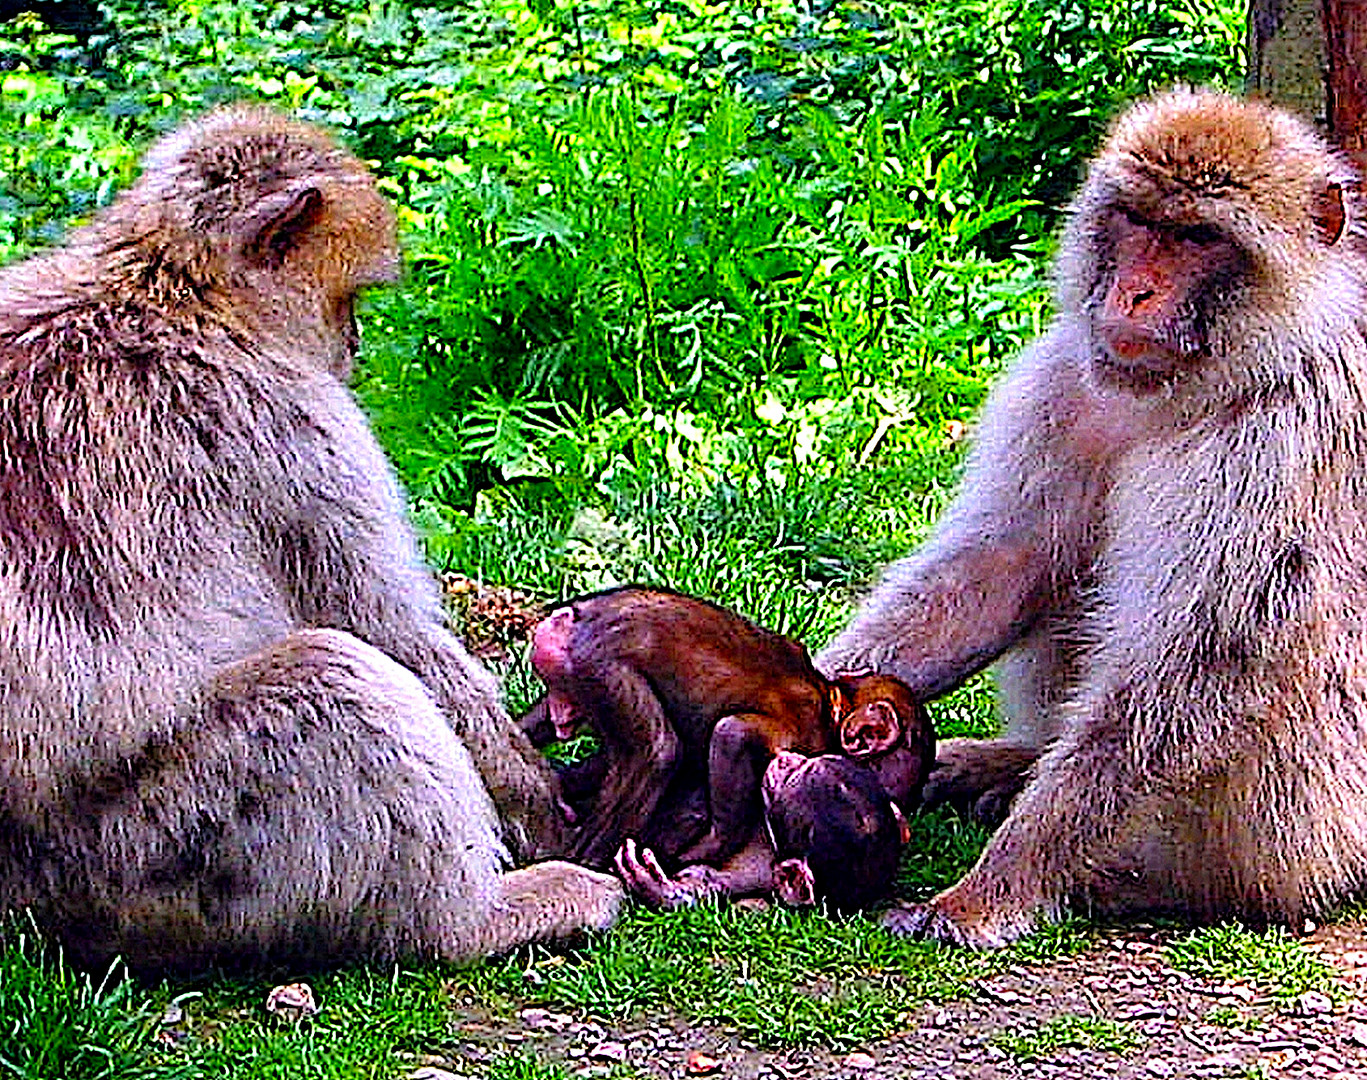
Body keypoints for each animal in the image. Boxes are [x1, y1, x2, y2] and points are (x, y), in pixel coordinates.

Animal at [814, 90, 1367, 946]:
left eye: (1198, 237)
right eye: (1137, 220)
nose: (1133, 292)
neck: (1203, 386)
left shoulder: (1280, 440)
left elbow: (1195, 663)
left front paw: (996, 886)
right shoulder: (1061, 381)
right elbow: (1005, 566)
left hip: (1316, 822)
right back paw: (1009, 763)